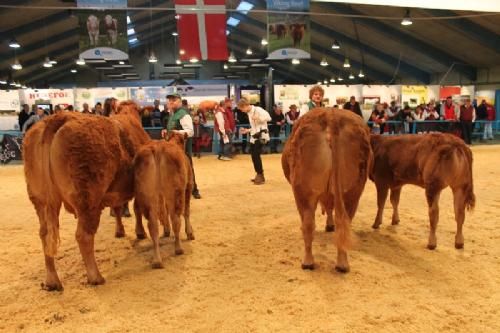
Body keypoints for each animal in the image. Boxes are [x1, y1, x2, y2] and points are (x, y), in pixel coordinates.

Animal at [23, 100, 148, 290]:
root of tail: (59, 117)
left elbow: (118, 209)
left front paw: (120, 231)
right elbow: (136, 208)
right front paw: (140, 232)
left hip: (40, 199)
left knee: (44, 234)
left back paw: (52, 280)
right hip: (88, 198)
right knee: (83, 236)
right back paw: (95, 277)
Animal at [133, 133, 195, 268]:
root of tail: (157, 147)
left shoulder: (162, 195)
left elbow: (164, 211)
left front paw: (166, 231)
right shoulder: (188, 186)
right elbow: (186, 212)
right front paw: (190, 233)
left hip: (148, 194)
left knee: (153, 225)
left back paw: (157, 260)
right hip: (176, 191)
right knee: (176, 219)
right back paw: (178, 249)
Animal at [284, 107, 374, 272]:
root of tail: (331, 115)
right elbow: (330, 208)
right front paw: (329, 224)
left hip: (303, 190)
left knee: (308, 224)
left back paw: (307, 262)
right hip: (354, 190)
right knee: (344, 222)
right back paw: (342, 264)